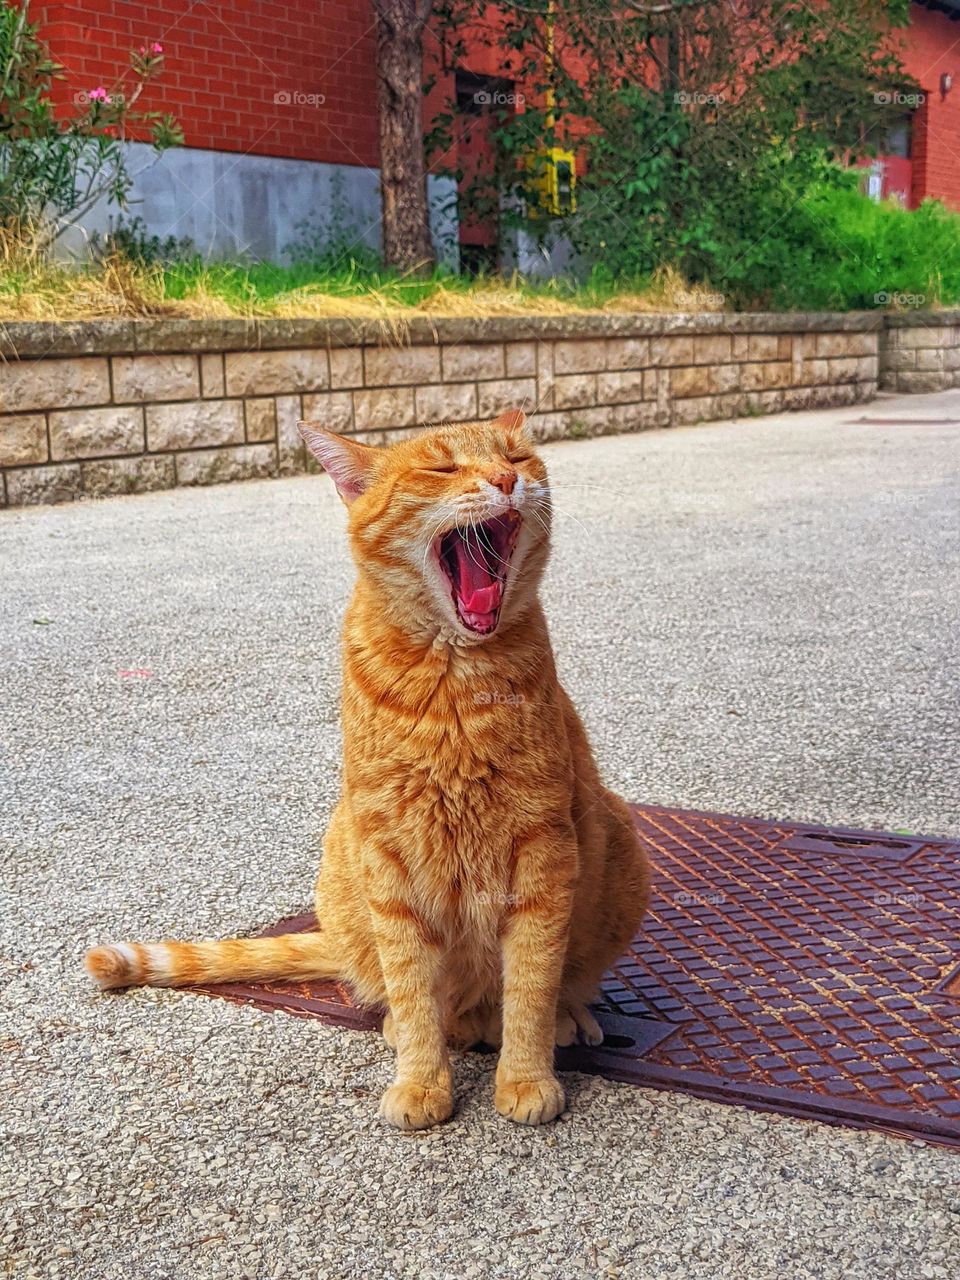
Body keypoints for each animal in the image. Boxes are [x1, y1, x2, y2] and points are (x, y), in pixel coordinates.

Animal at [84, 409, 655, 1131]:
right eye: (442, 467)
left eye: (516, 457)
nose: (504, 481)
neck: (454, 682)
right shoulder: (388, 854)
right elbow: (412, 985)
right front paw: (421, 1080)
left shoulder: (543, 854)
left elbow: (530, 984)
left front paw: (525, 1077)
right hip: (343, 850)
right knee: (405, 992)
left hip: (616, 833)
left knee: (560, 985)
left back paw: (565, 1019)